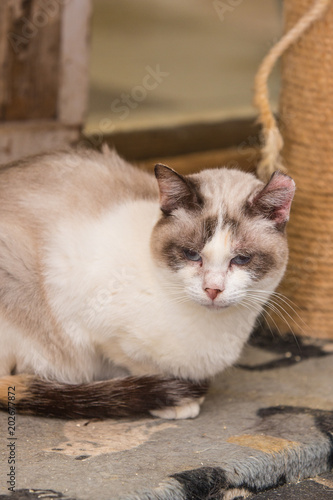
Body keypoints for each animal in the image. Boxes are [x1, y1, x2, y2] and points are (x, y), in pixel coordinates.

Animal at [0, 147, 294, 418]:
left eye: (241, 259)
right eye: (191, 255)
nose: (213, 289)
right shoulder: (95, 327)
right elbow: (140, 365)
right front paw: (178, 403)